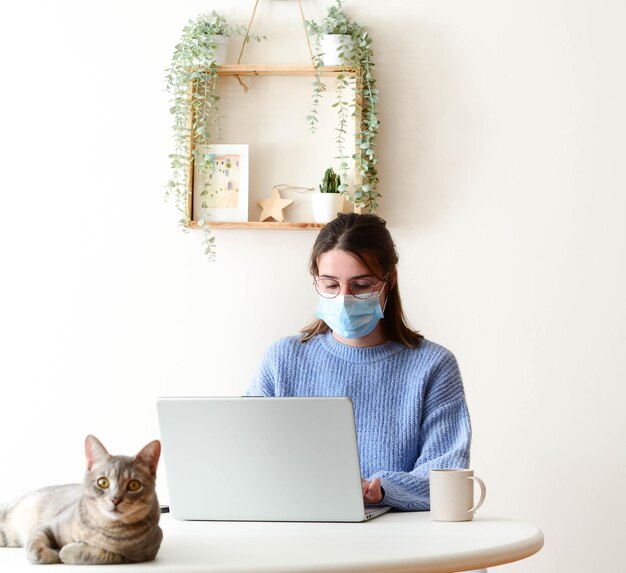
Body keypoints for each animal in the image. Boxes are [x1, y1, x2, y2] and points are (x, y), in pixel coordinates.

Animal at [0, 434, 163, 564]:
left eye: (134, 485)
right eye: (103, 482)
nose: (115, 499)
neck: (103, 527)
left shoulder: (140, 553)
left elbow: (93, 554)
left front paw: (64, 551)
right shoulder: (47, 526)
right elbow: (35, 548)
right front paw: (51, 554)